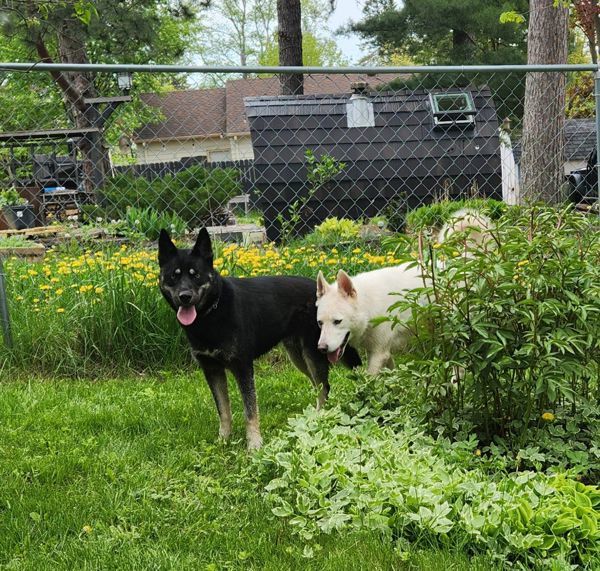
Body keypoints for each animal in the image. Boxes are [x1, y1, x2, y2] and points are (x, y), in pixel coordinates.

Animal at [157, 229, 360, 452]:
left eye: (196, 275)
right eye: (173, 276)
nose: (184, 296)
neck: (212, 313)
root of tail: (326, 294)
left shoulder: (243, 367)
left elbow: (250, 410)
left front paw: (254, 444)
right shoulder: (212, 369)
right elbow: (223, 409)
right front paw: (224, 439)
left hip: (312, 353)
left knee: (323, 387)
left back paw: (319, 418)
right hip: (298, 357)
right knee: (320, 385)